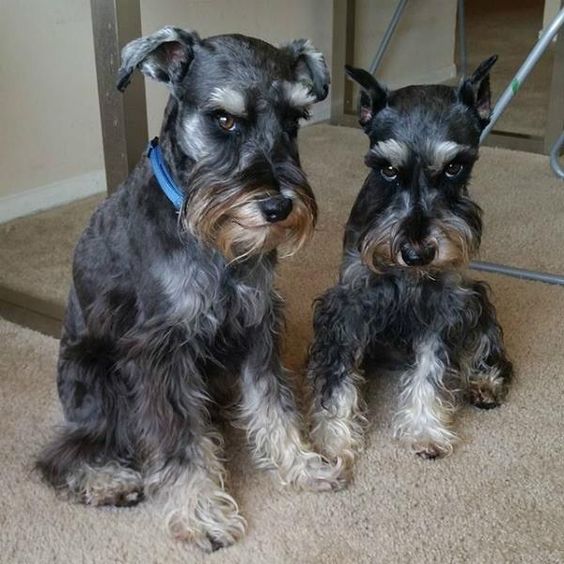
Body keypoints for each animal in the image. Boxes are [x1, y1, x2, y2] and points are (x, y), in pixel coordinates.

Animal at [38, 26, 344, 552]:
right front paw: (201, 514)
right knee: (69, 450)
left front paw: (301, 463)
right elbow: (179, 440)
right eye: (224, 119)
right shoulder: (161, 349)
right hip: (99, 382)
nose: (279, 207)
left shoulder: (257, 321)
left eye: (294, 120)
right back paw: (108, 480)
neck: (211, 239)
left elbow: (273, 402)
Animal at [306, 56, 512, 476]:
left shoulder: (444, 306)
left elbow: (431, 370)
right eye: (386, 169)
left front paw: (425, 429)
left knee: (488, 343)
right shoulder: (349, 306)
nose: (416, 254)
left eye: (454, 167)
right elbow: (337, 377)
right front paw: (333, 442)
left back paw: (485, 381)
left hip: (478, 300)